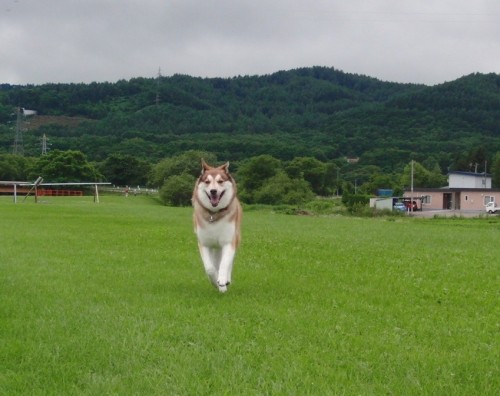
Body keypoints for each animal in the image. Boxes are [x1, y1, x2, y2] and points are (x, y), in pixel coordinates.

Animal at [191, 159, 242, 292]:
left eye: (220, 181)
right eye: (207, 182)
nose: (213, 191)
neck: (214, 214)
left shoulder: (229, 242)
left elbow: (225, 263)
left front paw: (223, 281)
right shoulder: (204, 243)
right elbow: (210, 268)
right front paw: (215, 282)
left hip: (235, 237)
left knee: (229, 262)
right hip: (215, 246)